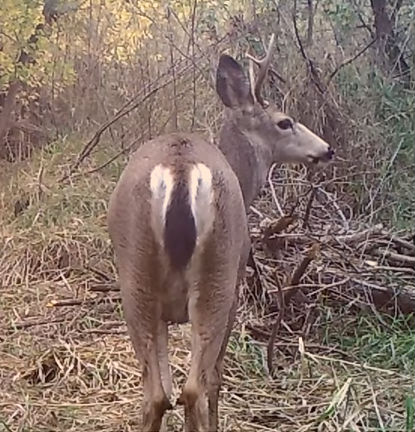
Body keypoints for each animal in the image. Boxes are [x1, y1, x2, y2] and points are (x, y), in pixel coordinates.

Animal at [108, 33, 334, 432]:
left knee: (157, 394)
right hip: (219, 270)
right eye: (285, 122)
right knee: (197, 386)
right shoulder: (237, 281)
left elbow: (167, 386)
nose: (326, 149)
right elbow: (215, 376)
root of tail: (180, 169)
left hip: (135, 273)